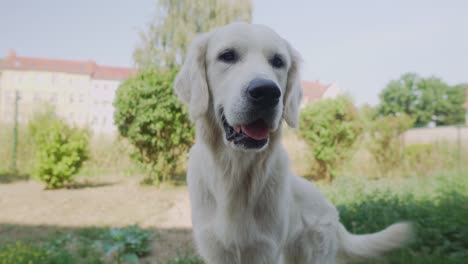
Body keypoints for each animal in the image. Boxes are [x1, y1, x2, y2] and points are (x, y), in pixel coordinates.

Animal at [174, 22, 412, 264]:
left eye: (278, 61)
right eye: (227, 56)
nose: (267, 92)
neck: (235, 173)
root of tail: (332, 212)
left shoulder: (266, 250)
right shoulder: (217, 250)